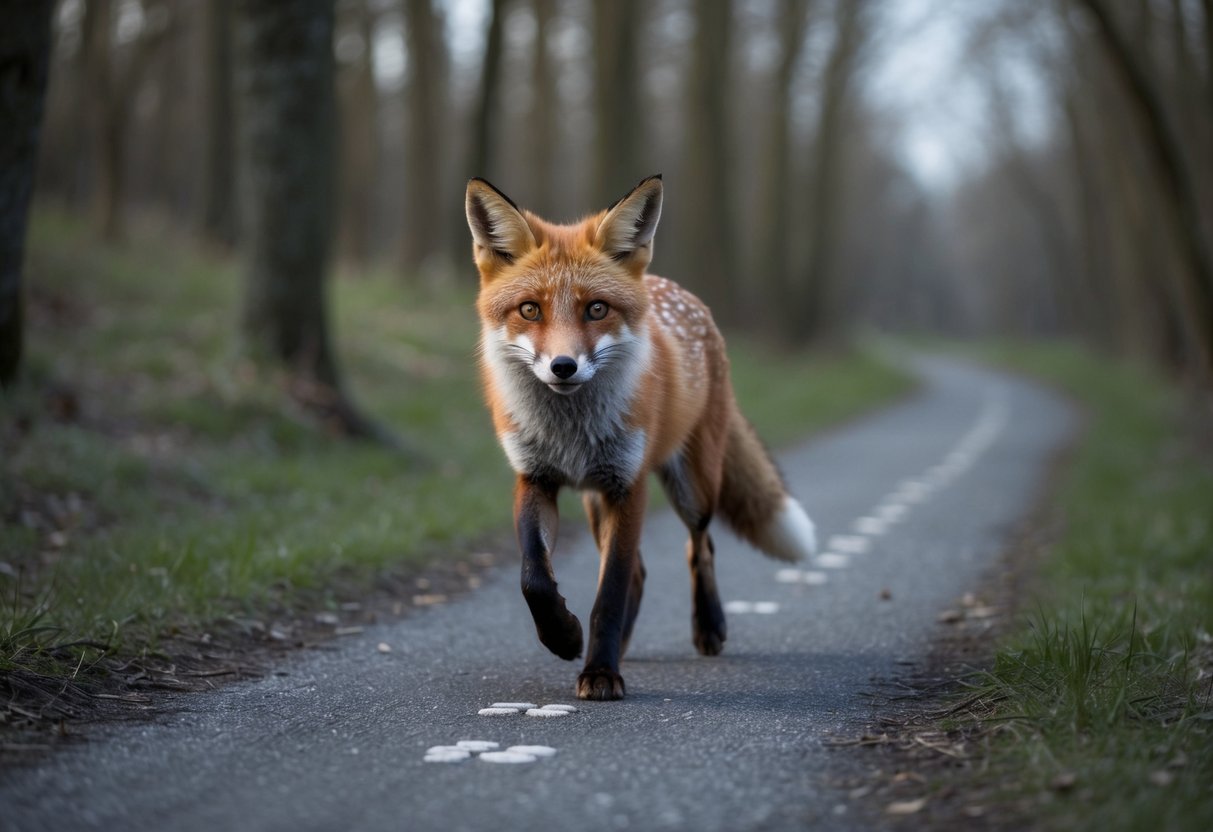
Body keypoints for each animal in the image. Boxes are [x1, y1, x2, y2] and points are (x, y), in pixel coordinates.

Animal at [465, 174, 817, 701]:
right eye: (529, 309)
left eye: (596, 309)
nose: (563, 366)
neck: (570, 432)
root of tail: (681, 292)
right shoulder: (536, 478)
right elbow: (535, 579)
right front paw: (565, 637)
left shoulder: (627, 486)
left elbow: (608, 593)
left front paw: (600, 673)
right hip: (595, 503)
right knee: (641, 571)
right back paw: (620, 644)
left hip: (693, 487)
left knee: (700, 547)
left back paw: (707, 627)